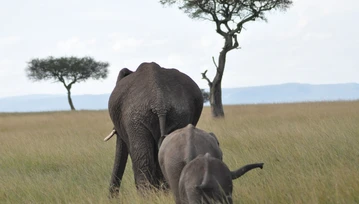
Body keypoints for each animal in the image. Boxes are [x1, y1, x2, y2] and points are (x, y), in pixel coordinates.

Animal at [105, 61, 204, 198]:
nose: (112, 197)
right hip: (178, 116)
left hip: (136, 119)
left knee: (143, 161)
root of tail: (160, 102)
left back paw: (146, 197)